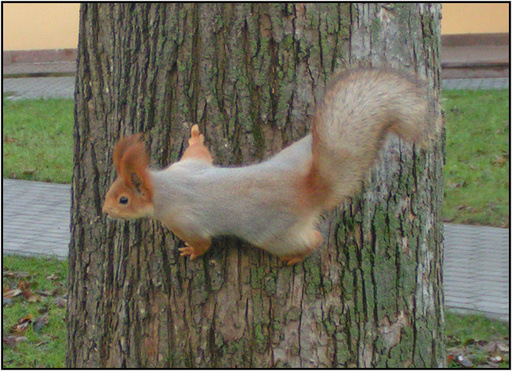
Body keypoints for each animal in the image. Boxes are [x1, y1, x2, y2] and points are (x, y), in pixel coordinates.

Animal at [102, 67, 430, 264]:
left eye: (123, 199)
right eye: (112, 190)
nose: (105, 210)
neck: (165, 185)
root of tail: (306, 189)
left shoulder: (182, 219)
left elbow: (203, 242)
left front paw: (191, 252)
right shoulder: (186, 166)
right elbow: (198, 153)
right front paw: (195, 135)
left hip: (274, 235)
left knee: (313, 240)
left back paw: (297, 256)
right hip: (300, 151)